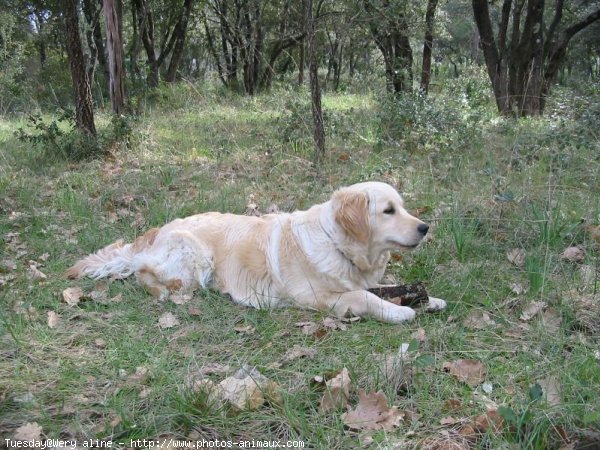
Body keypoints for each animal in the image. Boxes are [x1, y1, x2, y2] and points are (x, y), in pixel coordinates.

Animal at [68, 183, 448, 324]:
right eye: (388, 211)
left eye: (403, 206)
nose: (425, 227)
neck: (338, 244)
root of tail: (155, 231)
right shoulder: (318, 297)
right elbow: (366, 298)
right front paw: (399, 312)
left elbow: (388, 287)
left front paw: (430, 299)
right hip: (193, 259)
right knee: (143, 272)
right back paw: (163, 292)